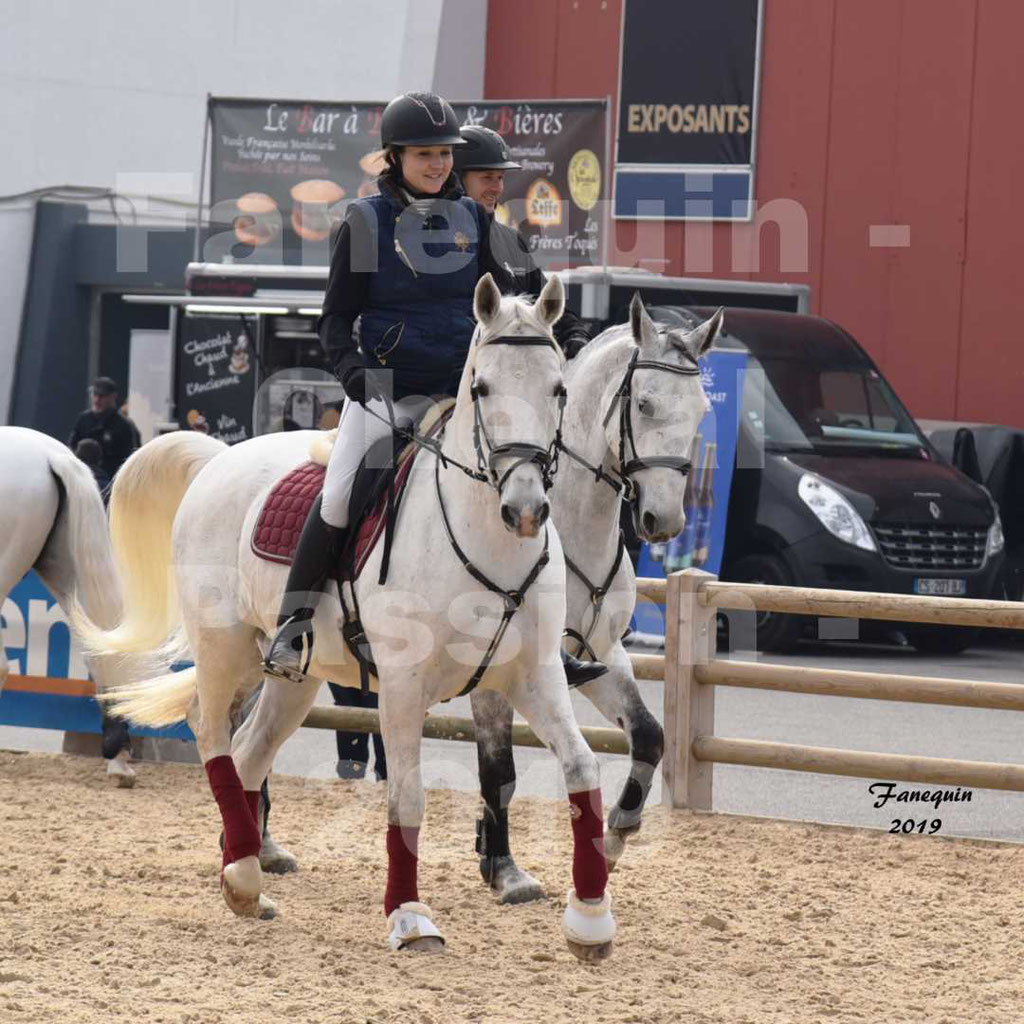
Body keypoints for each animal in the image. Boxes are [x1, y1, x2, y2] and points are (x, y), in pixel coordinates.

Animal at [86, 274, 614, 958]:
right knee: (211, 732)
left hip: (297, 678)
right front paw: (410, 917)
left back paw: (244, 877)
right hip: (226, 648)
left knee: (250, 752)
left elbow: (581, 766)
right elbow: (407, 798)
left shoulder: (536, 676)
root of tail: (218, 459)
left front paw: (591, 919)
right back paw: (243, 872)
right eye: (481, 388)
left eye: (558, 388)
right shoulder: (403, 688)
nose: (524, 510)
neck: (484, 541)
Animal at [471, 292, 720, 901]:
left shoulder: (598, 656)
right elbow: (498, 769)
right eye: (645, 404)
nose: (663, 521)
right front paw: (505, 868)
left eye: (702, 410)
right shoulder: (496, 670)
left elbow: (649, 735)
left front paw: (616, 833)